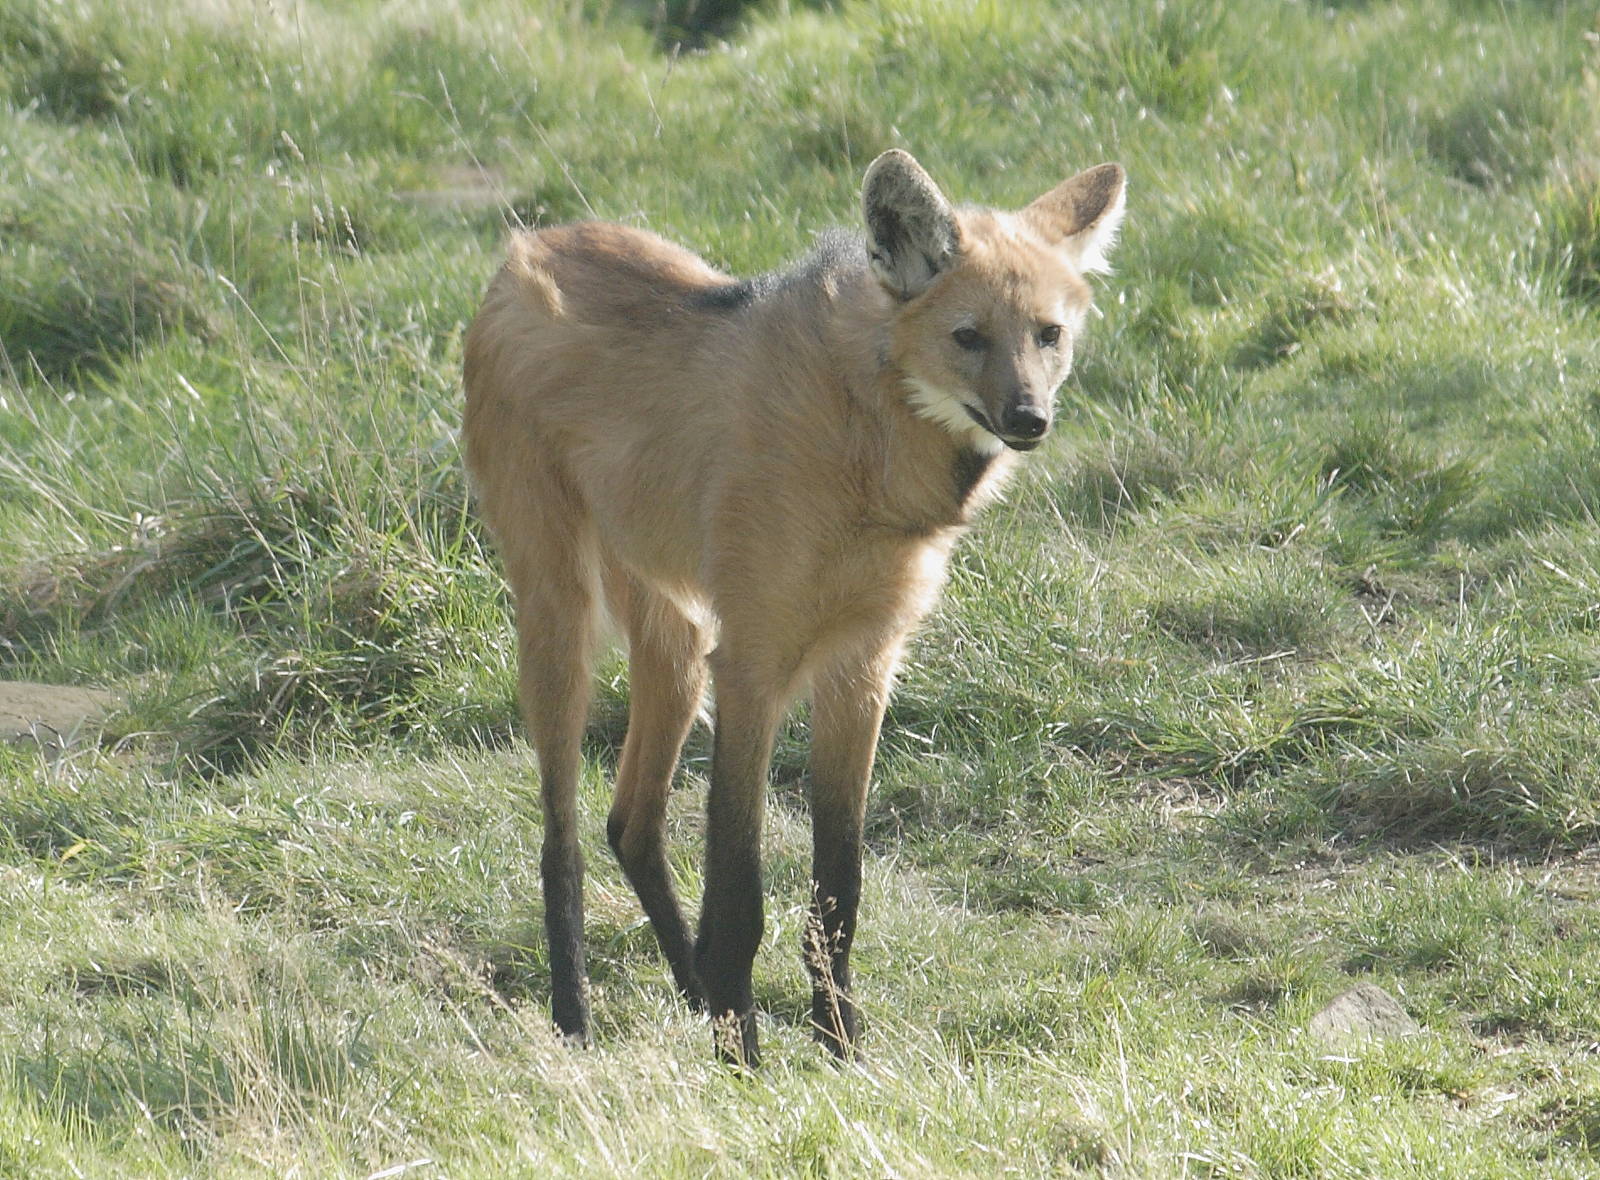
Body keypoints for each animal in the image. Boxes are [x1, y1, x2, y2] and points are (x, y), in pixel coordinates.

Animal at [463, 149, 1125, 1065]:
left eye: (1047, 335)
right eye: (969, 337)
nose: (1029, 417)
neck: (869, 438)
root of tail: (524, 248)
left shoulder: (861, 664)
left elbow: (838, 886)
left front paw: (839, 1049)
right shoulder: (755, 662)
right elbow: (741, 892)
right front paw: (743, 1064)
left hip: (677, 637)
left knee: (631, 821)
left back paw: (692, 993)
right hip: (563, 611)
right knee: (560, 838)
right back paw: (576, 1022)